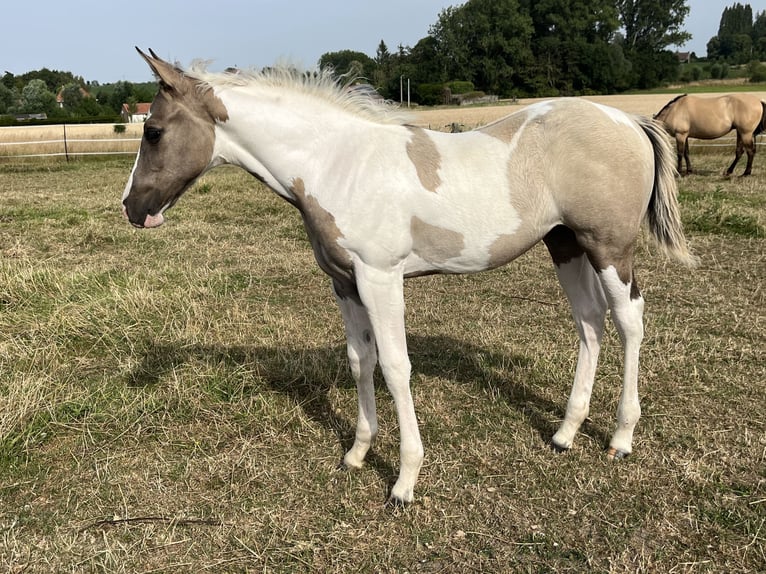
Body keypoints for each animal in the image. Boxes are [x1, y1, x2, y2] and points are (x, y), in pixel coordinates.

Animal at [122, 48, 696, 505]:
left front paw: (404, 481)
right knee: (590, 322)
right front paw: (356, 453)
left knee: (629, 320)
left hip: (609, 247)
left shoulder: (381, 279)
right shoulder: (344, 282)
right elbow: (361, 361)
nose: (132, 208)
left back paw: (620, 438)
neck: (338, 164)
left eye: (153, 131)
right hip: (565, 244)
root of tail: (628, 121)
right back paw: (564, 433)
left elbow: (397, 368)